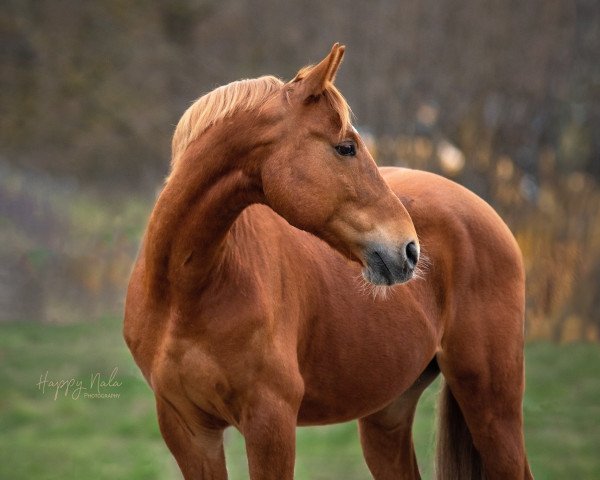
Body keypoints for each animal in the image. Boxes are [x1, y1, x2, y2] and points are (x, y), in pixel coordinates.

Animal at [124, 43, 532, 478]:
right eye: (346, 147)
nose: (409, 250)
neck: (185, 293)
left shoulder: (270, 423)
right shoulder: (189, 432)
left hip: (492, 407)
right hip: (386, 418)